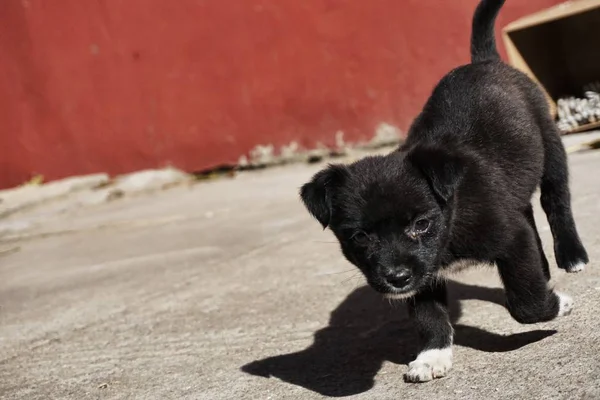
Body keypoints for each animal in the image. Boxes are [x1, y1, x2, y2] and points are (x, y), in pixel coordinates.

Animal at [298, 0, 588, 382]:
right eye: (359, 237)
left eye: (421, 224)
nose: (396, 279)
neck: (452, 216)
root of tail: (483, 61)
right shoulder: (424, 274)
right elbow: (428, 315)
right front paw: (432, 355)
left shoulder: (507, 237)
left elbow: (525, 304)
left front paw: (557, 305)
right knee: (526, 211)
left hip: (550, 146)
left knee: (555, 201)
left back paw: (571, 255)